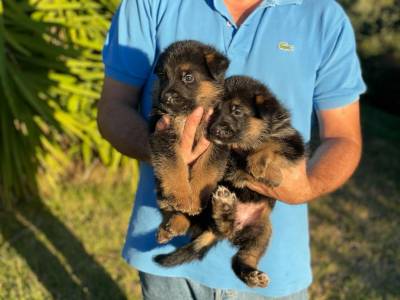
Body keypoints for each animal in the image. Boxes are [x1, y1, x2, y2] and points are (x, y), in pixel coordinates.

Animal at [149, 40, 231, 244]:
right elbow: (174, 166)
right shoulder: (163, 135)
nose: (165, 98)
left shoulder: (217, 144)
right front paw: (183, 197)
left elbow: (206, 170)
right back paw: (171, 226)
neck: (186, 114)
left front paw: (194, 199)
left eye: (188, 77)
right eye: (163, 76)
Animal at [155, 75, 304, 288]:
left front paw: (260, 166)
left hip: (262, 230)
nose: (214, 130)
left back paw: (251, 274)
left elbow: (273, 142)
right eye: (214, 110)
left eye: (237, 111)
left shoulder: (292, 141)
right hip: (209, 200)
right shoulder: (222, 155)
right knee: (200, 216)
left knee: (241, 257)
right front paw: (259, 171)